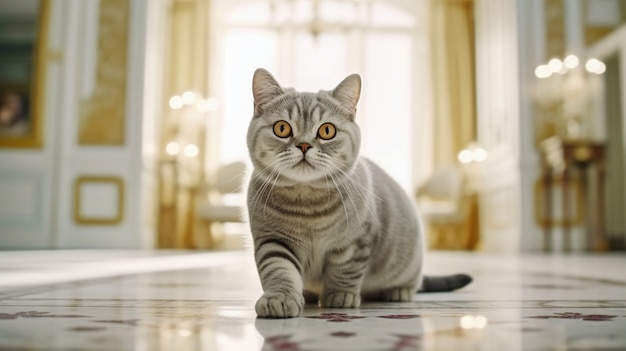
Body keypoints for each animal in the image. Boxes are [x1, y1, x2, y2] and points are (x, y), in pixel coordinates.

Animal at [244, 68, 468, 320]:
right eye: (282, 128)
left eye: (327, 130)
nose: (304, 146)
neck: (308, 207)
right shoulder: (273, 239)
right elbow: (279, 270)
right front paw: (280, 298)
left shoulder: (356, 241)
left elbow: (345, 271)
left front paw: (340, 296)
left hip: (409, 265)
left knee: (412, 283)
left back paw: (397, 291)